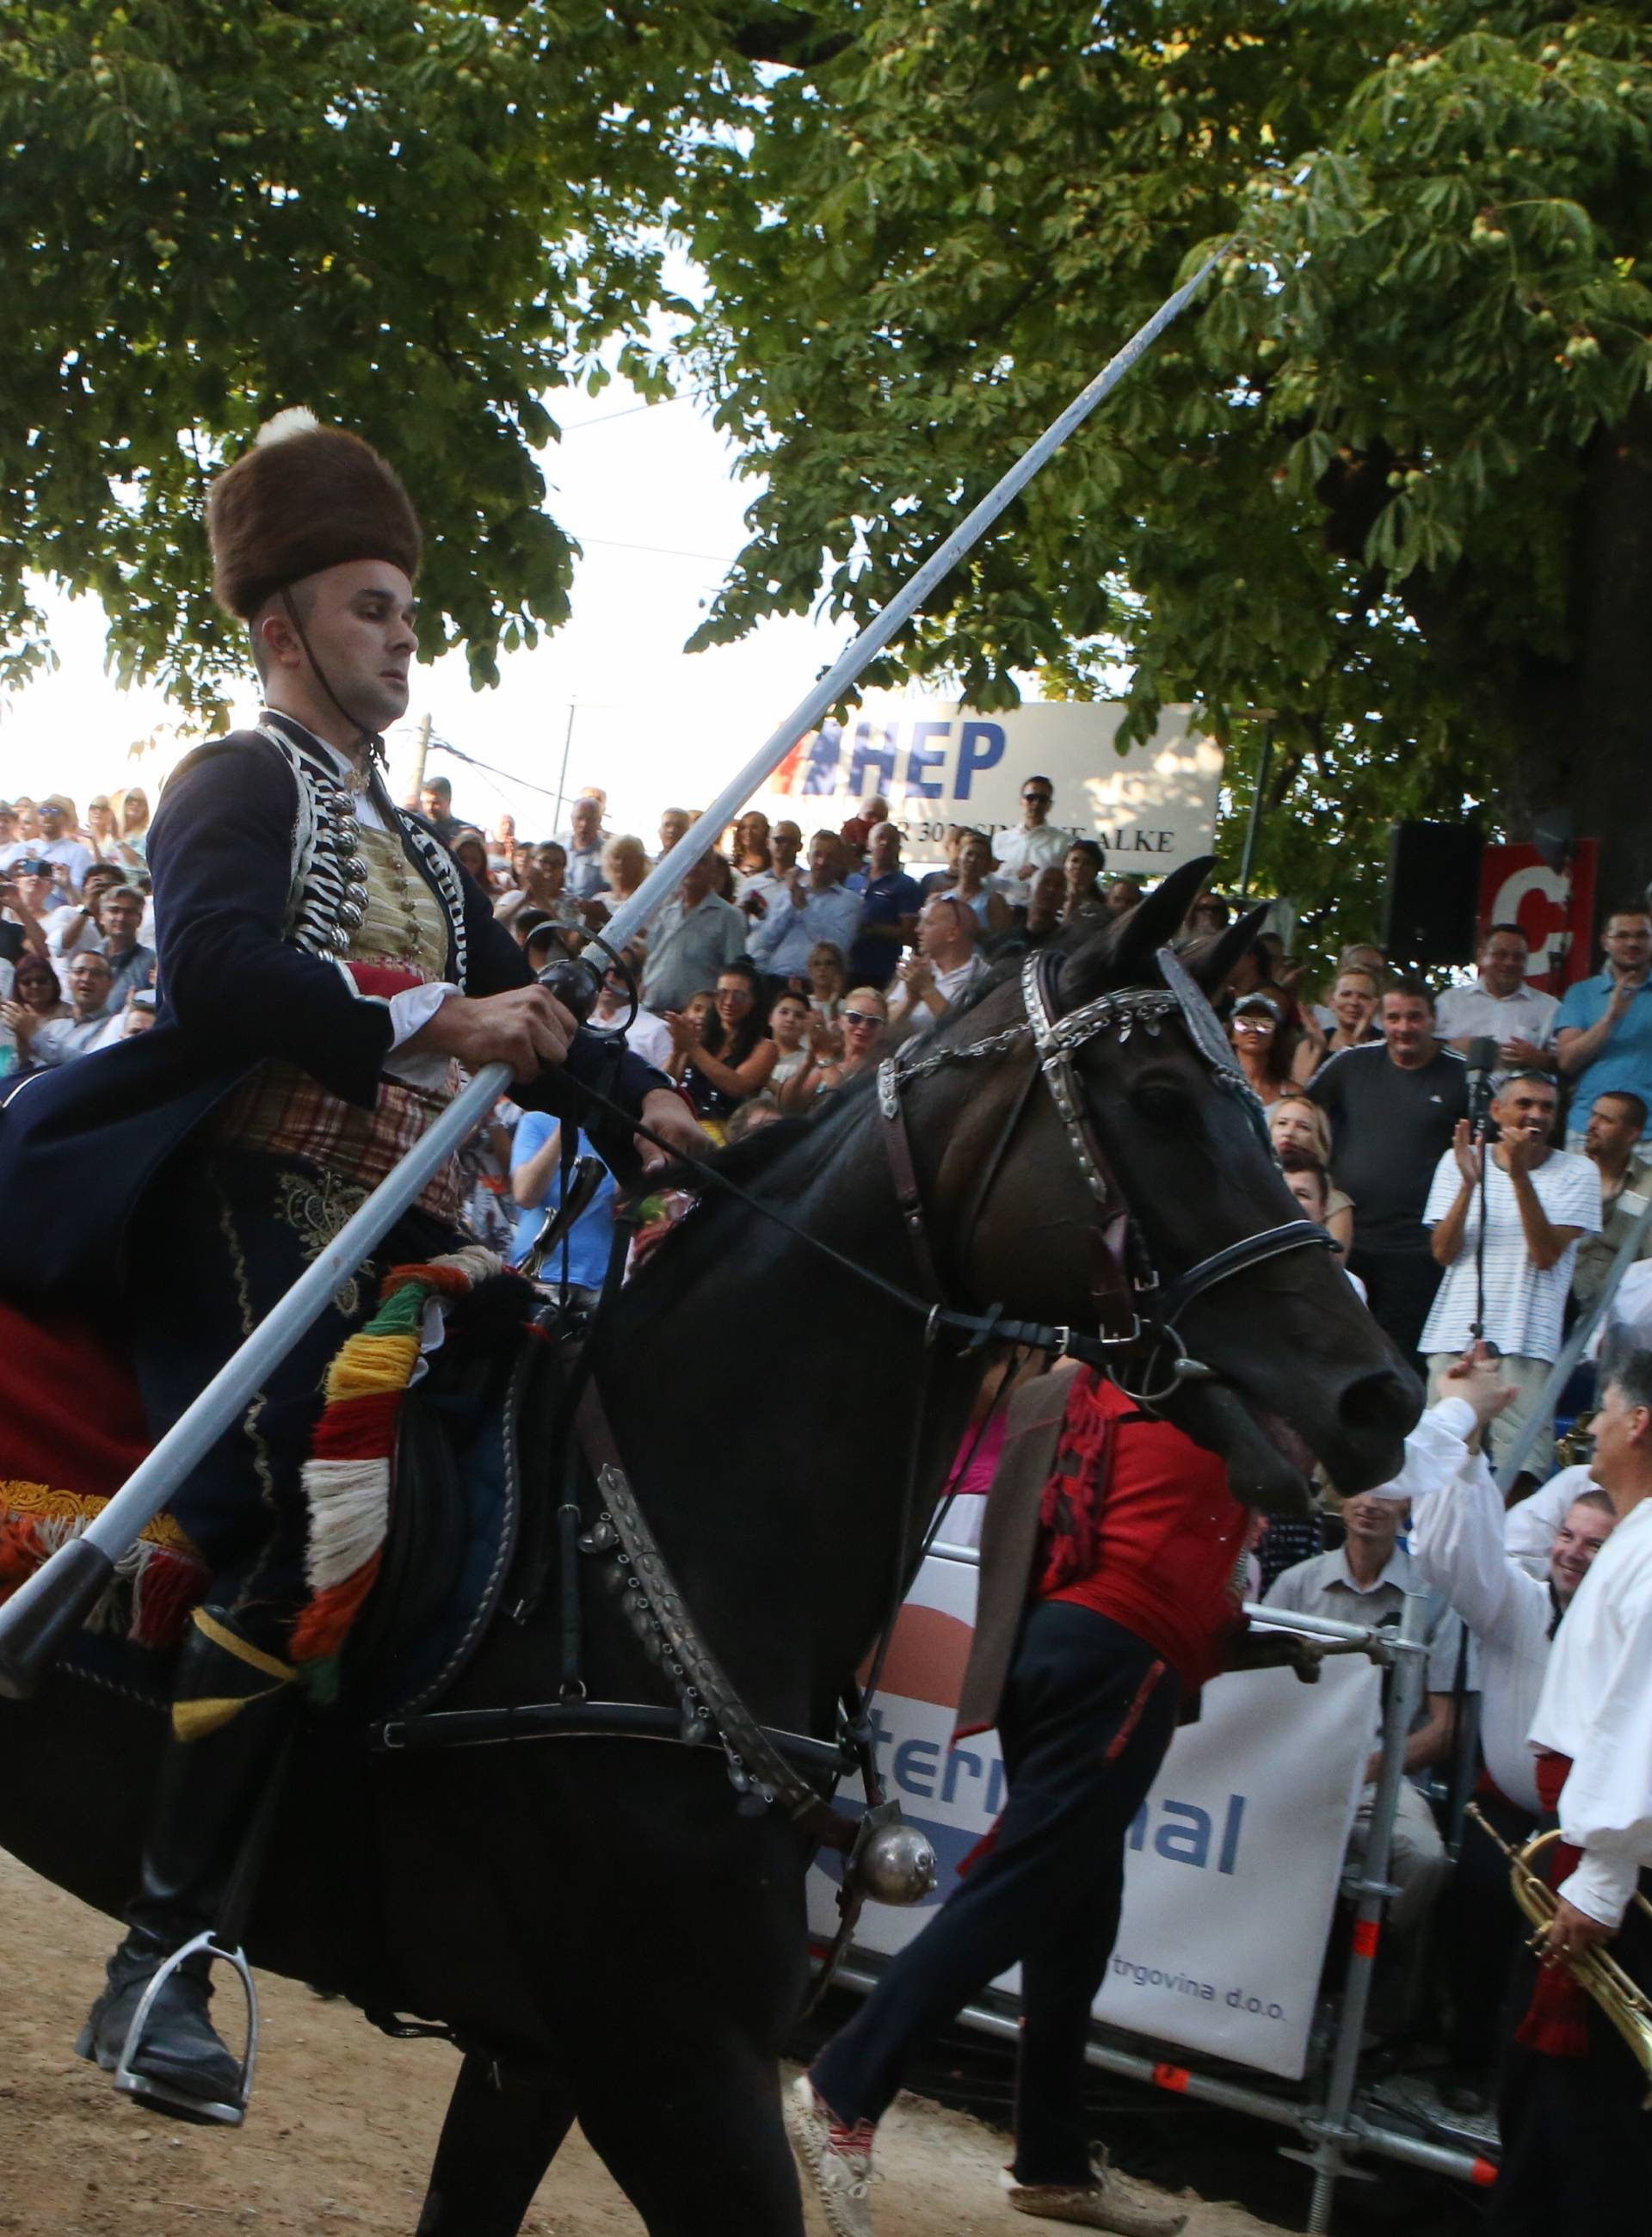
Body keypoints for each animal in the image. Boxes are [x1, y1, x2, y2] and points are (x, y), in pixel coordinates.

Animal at [0, 859, 1415, 2237]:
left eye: (1262, 1111)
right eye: (1164, 1098)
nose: (1379, 1395)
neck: (627, 1554)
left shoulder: (544, 2056)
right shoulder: (671, 2069)